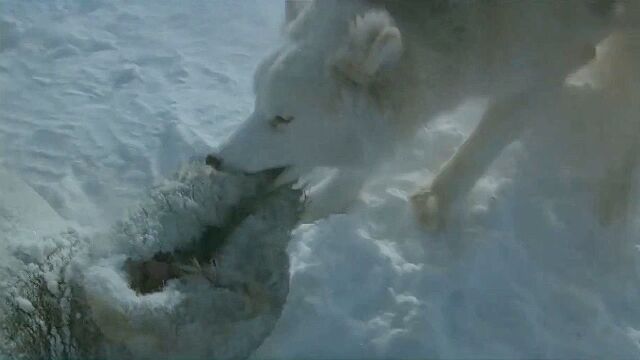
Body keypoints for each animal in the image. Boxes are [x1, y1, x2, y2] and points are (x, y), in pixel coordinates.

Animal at [218, 0, 632, 228]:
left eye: (283, 119)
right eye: (255, 103)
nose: (214, 161)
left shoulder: (553, 62)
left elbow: (482, 145)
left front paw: (436, 201)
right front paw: (325, 204)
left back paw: (615, 197)